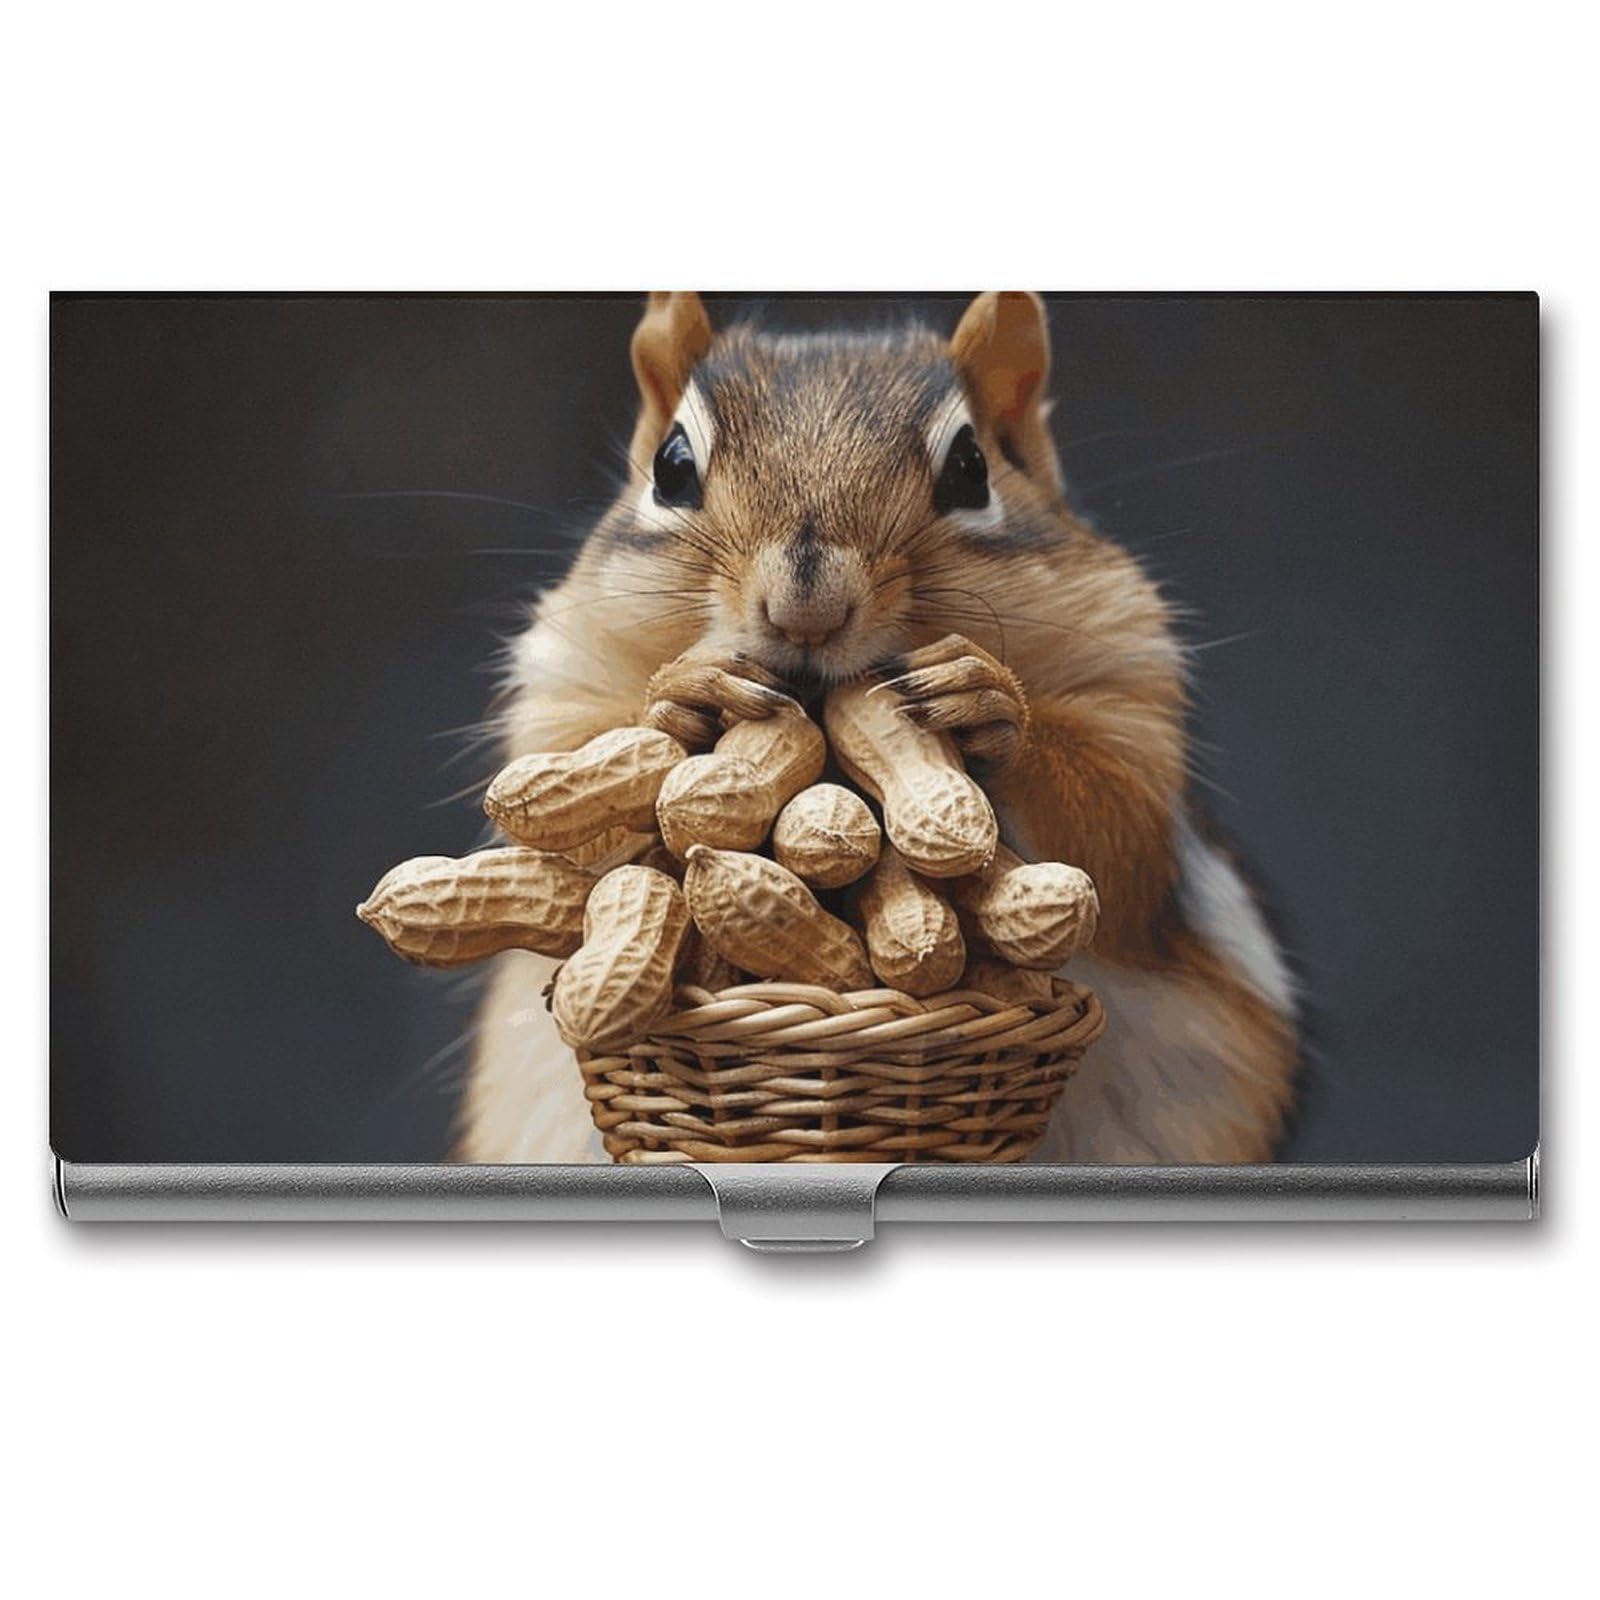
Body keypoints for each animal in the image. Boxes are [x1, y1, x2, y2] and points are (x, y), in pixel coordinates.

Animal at [459, 292, 1298, 1164]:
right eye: (672, 467)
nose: (807, 611)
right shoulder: (561, 687)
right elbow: (579, 834)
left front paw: (991, 705)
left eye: (971, 468)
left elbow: (1122, 836)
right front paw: (681, 692)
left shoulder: (1134, 683)